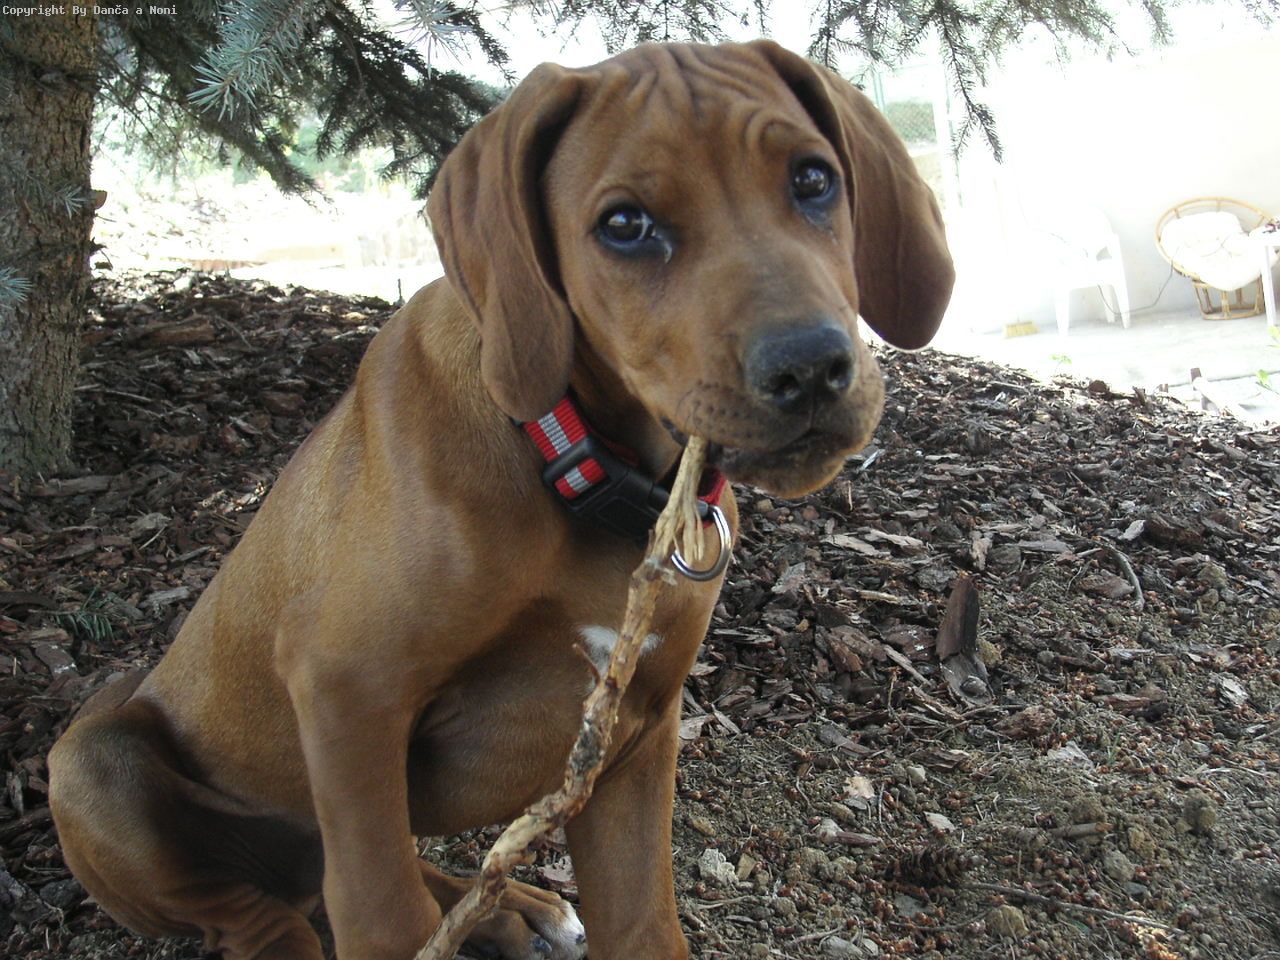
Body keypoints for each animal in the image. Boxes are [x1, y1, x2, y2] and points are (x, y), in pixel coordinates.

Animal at [48, 39, 952, 960]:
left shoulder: (636, 734)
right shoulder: (345, 685)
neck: (576, 462)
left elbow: (643, 923)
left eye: (812, 179)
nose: (810, 368)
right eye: (624, 226)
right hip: (90, 764)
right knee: (268, 912)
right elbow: (382, 911)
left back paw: (515, 906)